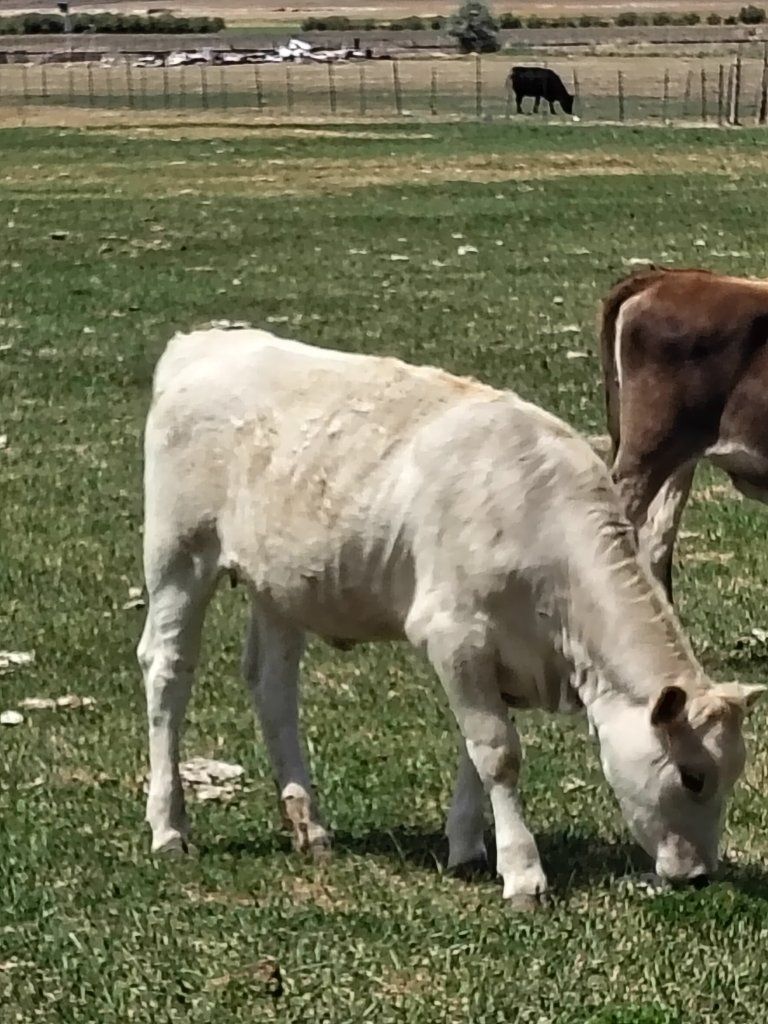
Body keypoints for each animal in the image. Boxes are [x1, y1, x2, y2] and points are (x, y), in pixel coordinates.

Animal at [138, 326, 763, 908]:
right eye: (693, 776)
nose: (700, 875)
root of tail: (204, 341)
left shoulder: (504, 657)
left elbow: (475, 751)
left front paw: (467, 846)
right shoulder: (454, 636)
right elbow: (497, 752)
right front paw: (523, 873)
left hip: (280, 586)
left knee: (273, 687)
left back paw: (308, 824)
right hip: (178, 553)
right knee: (167, 669)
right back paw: (169, 826)